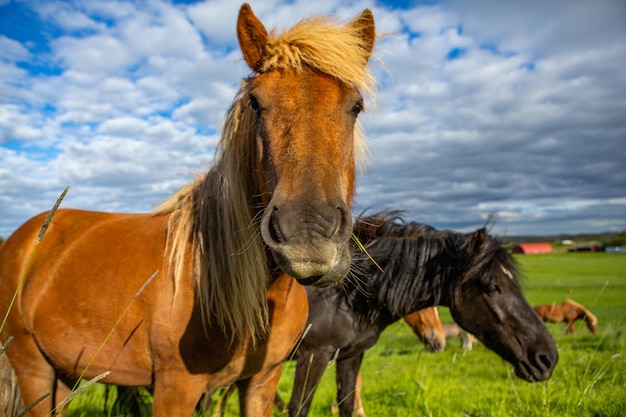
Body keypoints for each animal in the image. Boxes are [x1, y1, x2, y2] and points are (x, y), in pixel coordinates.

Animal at [0, 4, 376, 416]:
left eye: (356, 106)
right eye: (255, 103)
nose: (308, 237)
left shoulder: (263, 381)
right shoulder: (175, 388)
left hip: (64, 371)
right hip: (32, 367)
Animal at [286, 211, 556, 416]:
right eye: (493, 287)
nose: (548, 358)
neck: (342, 294)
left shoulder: (350, 356)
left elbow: (348, 404)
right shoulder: (314, 355)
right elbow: (299, 408)